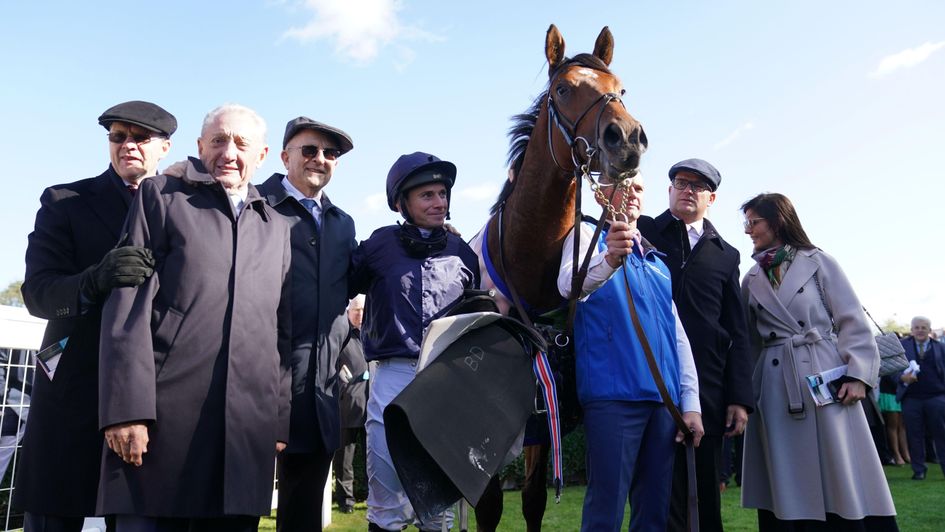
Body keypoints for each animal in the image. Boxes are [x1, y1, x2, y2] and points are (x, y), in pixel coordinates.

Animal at [466, 23, 644, 528]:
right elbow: (488, 504)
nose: (626, 139)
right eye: (563, 89)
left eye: (620, 87)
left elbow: (532, 499)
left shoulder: (546, 418)